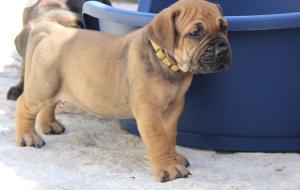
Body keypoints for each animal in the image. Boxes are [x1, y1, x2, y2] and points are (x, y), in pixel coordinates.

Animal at [15, 0, 232, 182]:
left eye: (223, 27)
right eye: (195, 33)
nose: (223, 50)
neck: (167, 65)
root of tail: (52, 31)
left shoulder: (173, 108)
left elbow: (169, 136)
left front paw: (173, 157)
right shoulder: (148, 111)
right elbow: (159, 140)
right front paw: (168, 167)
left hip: (51, 86)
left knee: (49, 104)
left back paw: (48, 125)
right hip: (43, 86)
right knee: (24, 105)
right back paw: (27, 136)